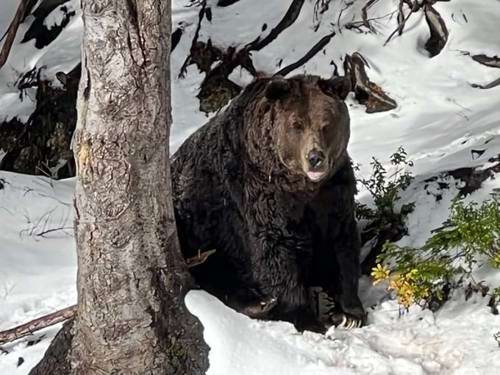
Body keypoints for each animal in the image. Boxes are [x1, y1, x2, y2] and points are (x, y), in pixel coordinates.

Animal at [171, 74, 364, 332]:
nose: (315, 158)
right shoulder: (260, 193)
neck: (301, 188)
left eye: (326, 124)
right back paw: (259, 303)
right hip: (193, 223)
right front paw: (305, 318)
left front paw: (348, 313)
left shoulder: (333, 193)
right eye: (296, 124)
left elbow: (341, 243)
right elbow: (275, 250)